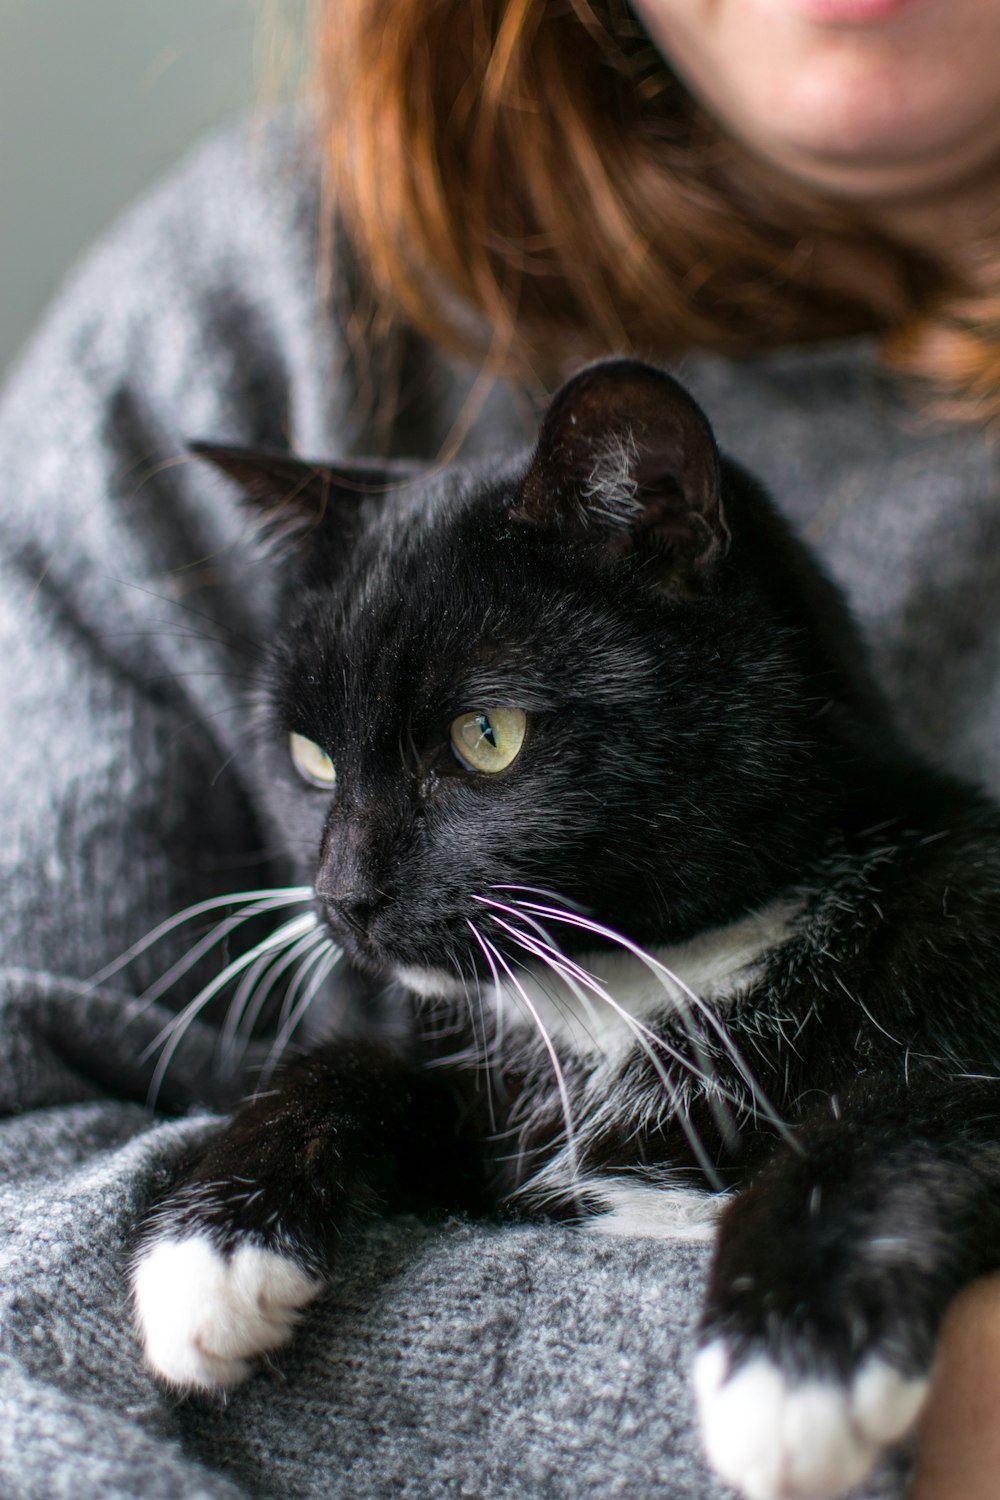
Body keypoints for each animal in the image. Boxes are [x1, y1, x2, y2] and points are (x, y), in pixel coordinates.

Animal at [127, 360, 1000, 1500]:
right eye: (309, 758)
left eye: (485, 737)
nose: (341, 894)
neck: (643, 992)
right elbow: (358, 1065)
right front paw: (207, 1250)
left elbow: (902, 1108)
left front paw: (791, 1359)